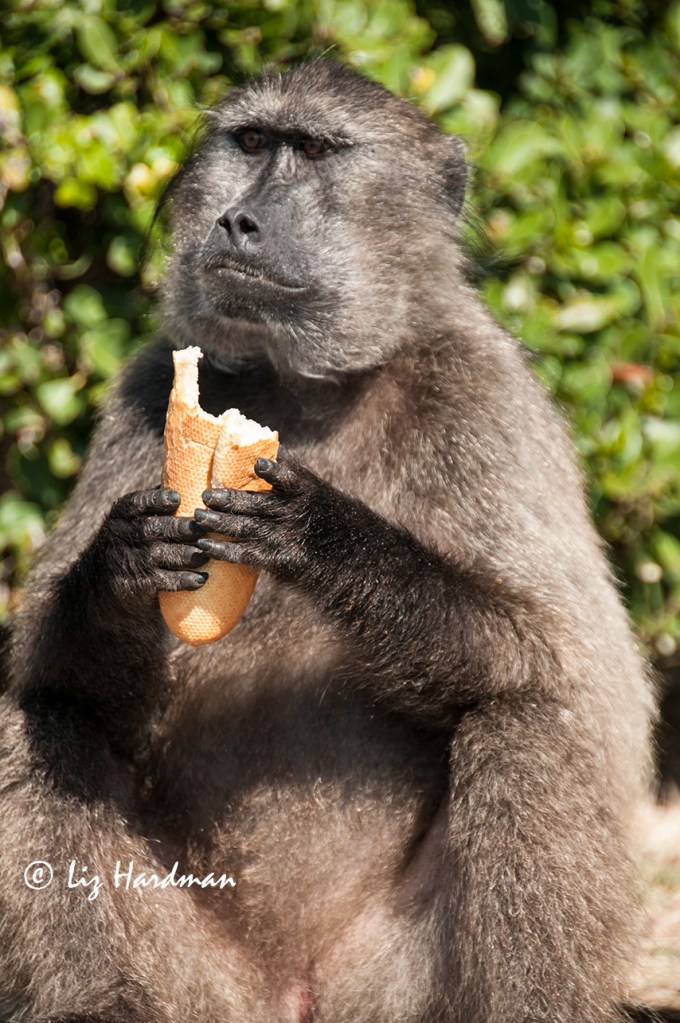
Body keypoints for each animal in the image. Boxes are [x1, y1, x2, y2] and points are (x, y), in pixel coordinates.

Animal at [0, 60, 660, 1023]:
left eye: (313, 151)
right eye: (250, 142)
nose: (238, 221)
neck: (304, 386)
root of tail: (299, 994)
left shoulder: (484, 394)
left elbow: (568, 659)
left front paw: (328, 536)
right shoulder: (145, 387)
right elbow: (53, 668)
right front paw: (121, 563)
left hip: (394, 985)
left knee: (528, 719)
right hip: (206, 992)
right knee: (40, 714)